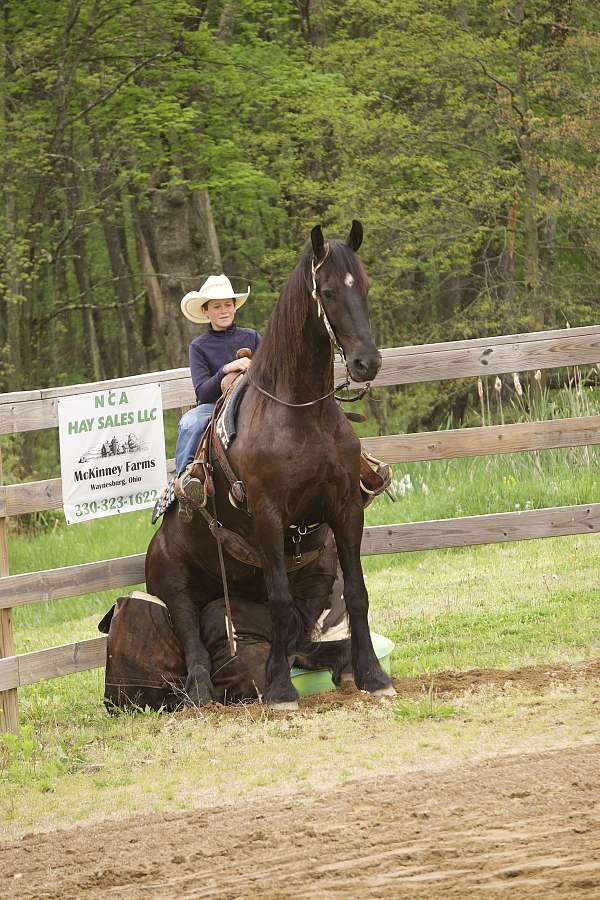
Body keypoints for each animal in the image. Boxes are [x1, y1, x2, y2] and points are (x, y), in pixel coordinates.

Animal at [145, 221, 395, 709]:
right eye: (329, 291)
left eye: (366, 285)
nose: (366, 362)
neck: (301, 414)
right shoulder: (269, 515)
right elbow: (278, 601)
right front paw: (279, 689)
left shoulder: (345, 510)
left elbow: (357, 593)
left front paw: (374, 674)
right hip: (172, 583)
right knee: (193, 641)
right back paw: (202, 691)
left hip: (315, 573)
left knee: (301, 635)